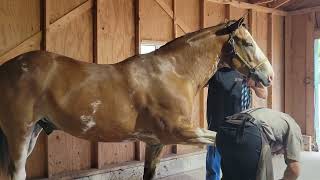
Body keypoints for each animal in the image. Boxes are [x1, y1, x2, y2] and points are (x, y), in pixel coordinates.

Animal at [0, 17, 272, 180]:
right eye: (247, 42)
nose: (269, 76)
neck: (173, 73)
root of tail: (6, 68)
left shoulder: (155, 143)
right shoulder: (179, 132)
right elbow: (218, 138)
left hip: (33, 132)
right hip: (20, 132)